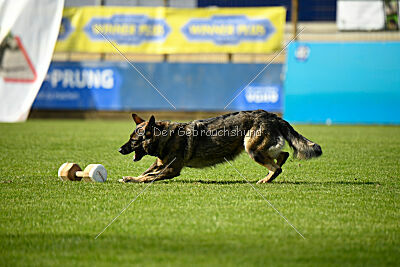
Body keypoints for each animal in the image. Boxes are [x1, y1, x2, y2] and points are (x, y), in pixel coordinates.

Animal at [117, 110, 320, 184]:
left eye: (134, 140)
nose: (119, 150)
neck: (166, 137)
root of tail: (272, 115)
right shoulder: (160, 164)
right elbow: (145, 173)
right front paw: (129, 177)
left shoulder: (171, 170)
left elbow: (147, 177)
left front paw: (131, 180)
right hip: (259, 148)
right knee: (283, 155)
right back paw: (270, 175)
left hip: (252, 149)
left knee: (277, 166)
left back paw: (266, 179)